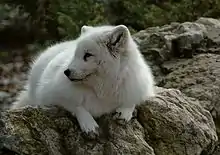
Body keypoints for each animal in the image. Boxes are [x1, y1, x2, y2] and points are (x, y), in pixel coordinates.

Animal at [11, 24, 156, 137]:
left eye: (88, 55)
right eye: (75, 54)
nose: (66, 72)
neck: (104, 89)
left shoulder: (139, 86)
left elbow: (133, 99)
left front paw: (124, 112)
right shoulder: (50, 94)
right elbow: (76, 105)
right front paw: (89, 124)